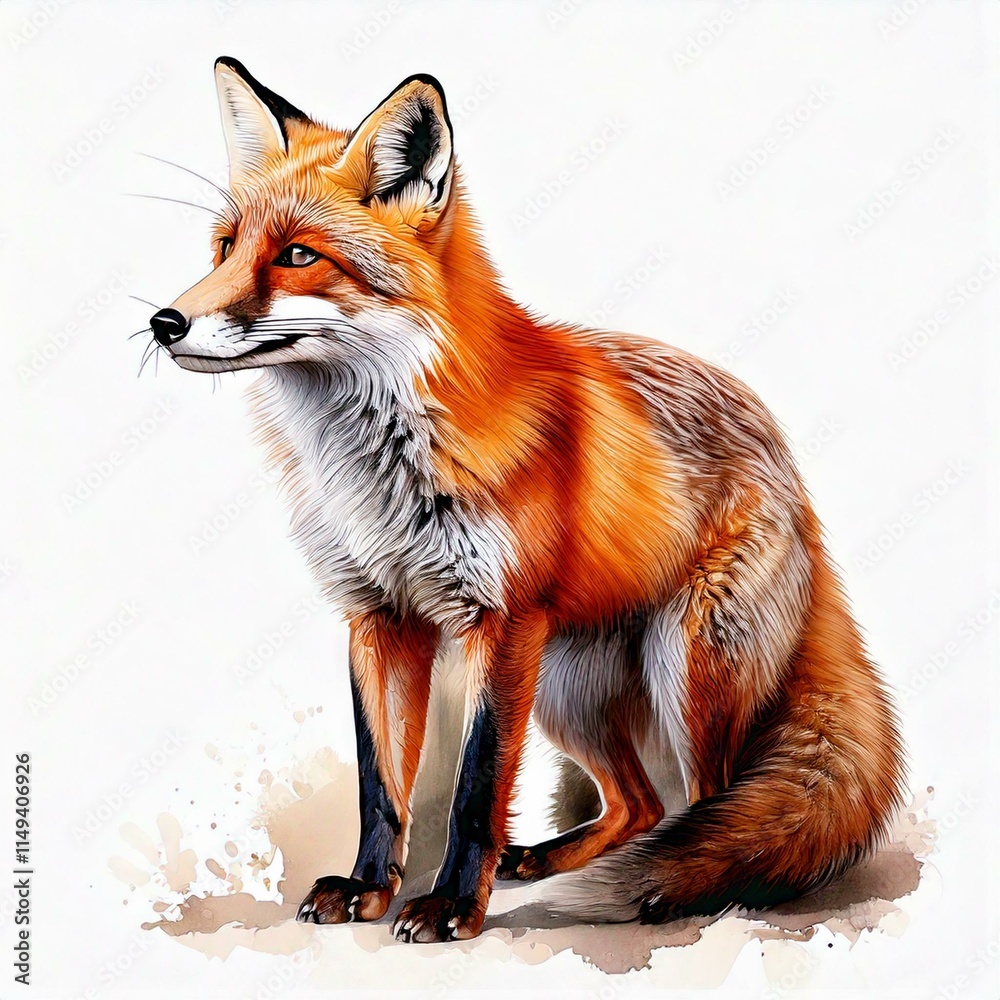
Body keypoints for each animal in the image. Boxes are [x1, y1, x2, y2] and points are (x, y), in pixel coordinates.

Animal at [147, 58, 905, 943]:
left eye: (299, 255)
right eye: (225, 246)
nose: (165, 322)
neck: (375, 467)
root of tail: (789, 466)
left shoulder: (500, 621)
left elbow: (475, 790)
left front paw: (450, 906)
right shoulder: (378, 617)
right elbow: (383, 787)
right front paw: (369, 889)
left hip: (684, 673)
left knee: (709, 802)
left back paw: (672, 891)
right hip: (567, 690)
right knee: (641, 802)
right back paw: (552, 859)